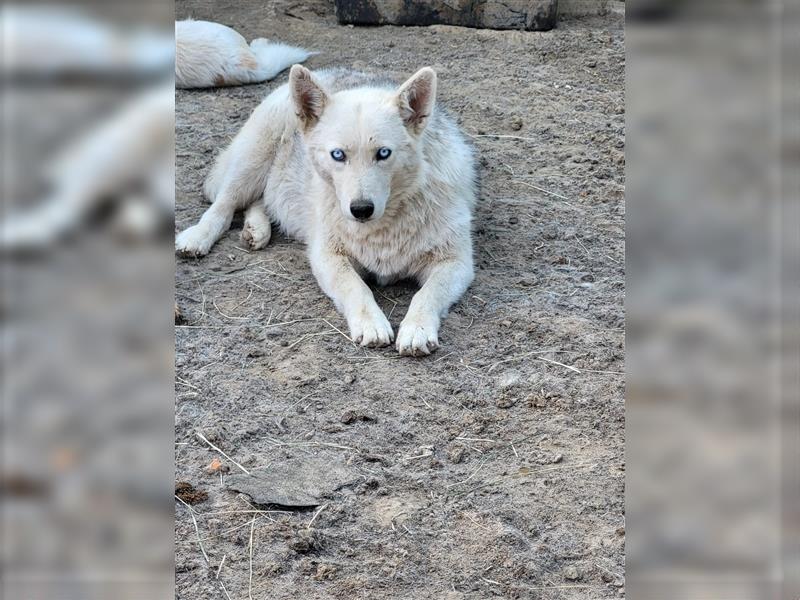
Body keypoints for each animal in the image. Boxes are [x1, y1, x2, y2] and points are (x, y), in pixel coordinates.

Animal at [177, 67, 476, 356]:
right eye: (338, 155)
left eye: (383, 153)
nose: (361, 209)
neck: (382, 227)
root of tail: (326, 71)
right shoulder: (327, 256)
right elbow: (356, 288)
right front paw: (372, 325)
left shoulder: (456, 262)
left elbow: (427, 294)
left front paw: (416, 330)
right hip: (252, 162)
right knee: (225, 203)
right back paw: (197, 237)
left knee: (262, 200)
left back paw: (256, 230)